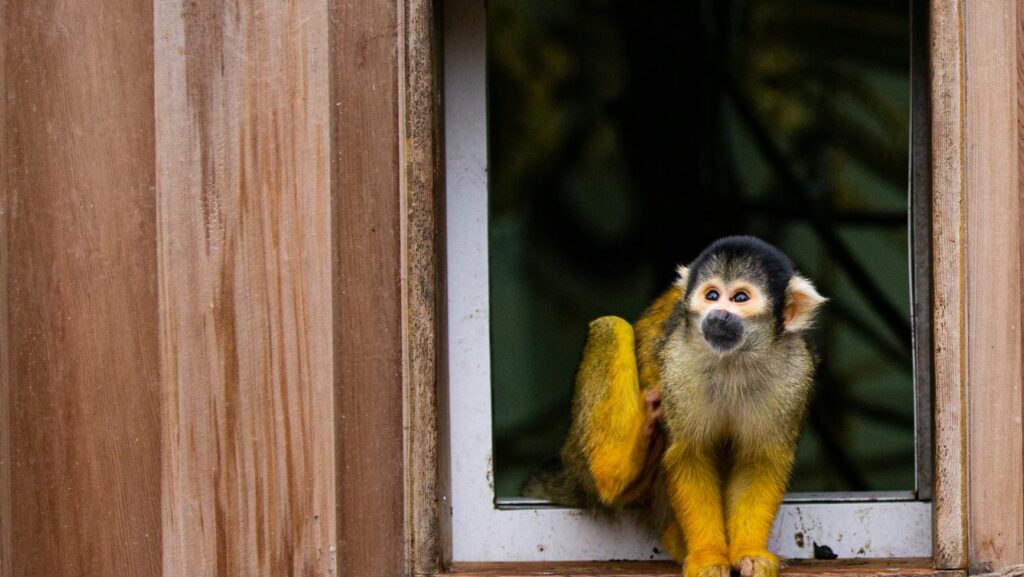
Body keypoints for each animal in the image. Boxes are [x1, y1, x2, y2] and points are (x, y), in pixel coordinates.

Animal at [524, 236, 826, 577]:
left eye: (740, 297)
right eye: (712, 295)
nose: (718, 314)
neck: (731, 361)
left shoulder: (794, 372)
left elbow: (759, 460)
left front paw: (749, 552)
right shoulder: (677, 363)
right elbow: (689, 454)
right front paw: (707, 557)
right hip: (579, 456)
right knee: (610, 327)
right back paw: (624, 469)